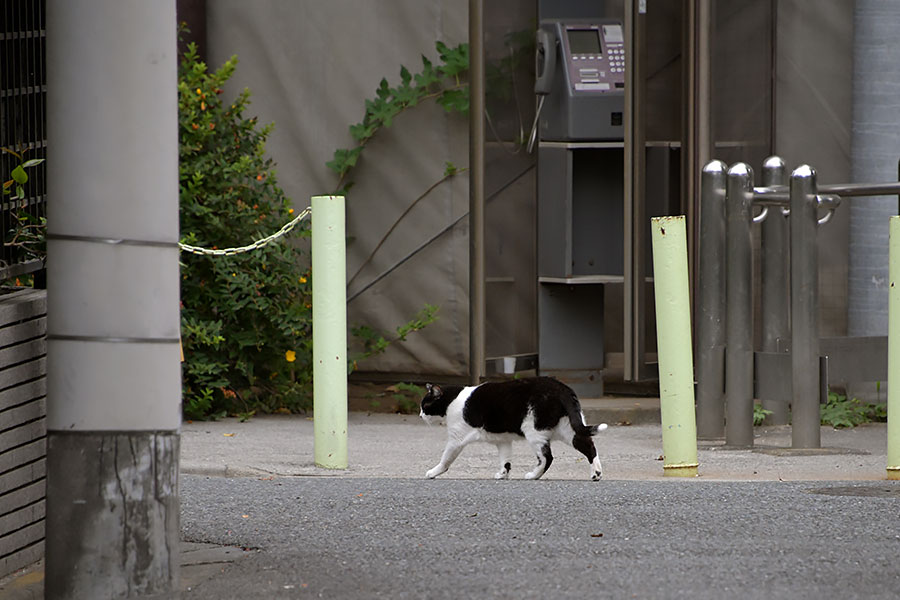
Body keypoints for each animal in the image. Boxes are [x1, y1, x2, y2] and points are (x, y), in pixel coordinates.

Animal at [418, 378, 608, 480]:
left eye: (425, 405)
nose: (420, 415)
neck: (453, 401)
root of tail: (562, 388)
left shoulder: (456, 439)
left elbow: (446, 459)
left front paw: (433, 472)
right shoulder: (502, 440)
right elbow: (505, 459)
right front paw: (503, 474)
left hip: (534, 431)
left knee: (547, 457)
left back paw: (533, 475)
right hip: (567, 429)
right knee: (589, 446)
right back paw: (596, 473)